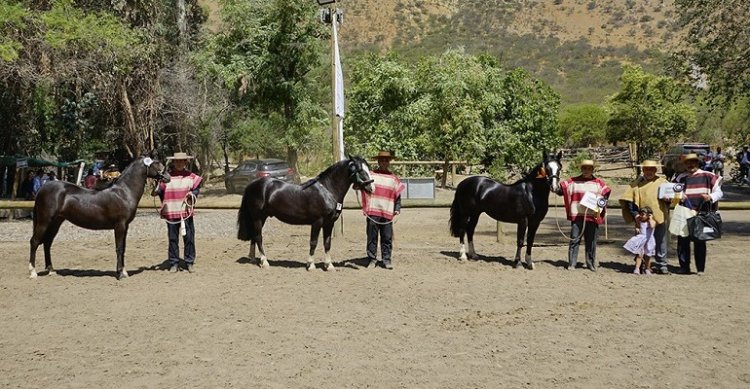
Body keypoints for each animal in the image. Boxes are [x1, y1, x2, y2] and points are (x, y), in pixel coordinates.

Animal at [29, 155, 170, 278]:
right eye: (156, 163)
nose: (168, 177)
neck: (123, 192)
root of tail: (42, 189)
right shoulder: (119, 225)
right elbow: (119, 248)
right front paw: (120, 274)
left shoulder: (125, 226)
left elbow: (123, 248)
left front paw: (123, 272)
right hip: (44, 221)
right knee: (34, 242)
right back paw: (33, 272)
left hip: (56, 222)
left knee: (47, 243)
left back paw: (51, 270)